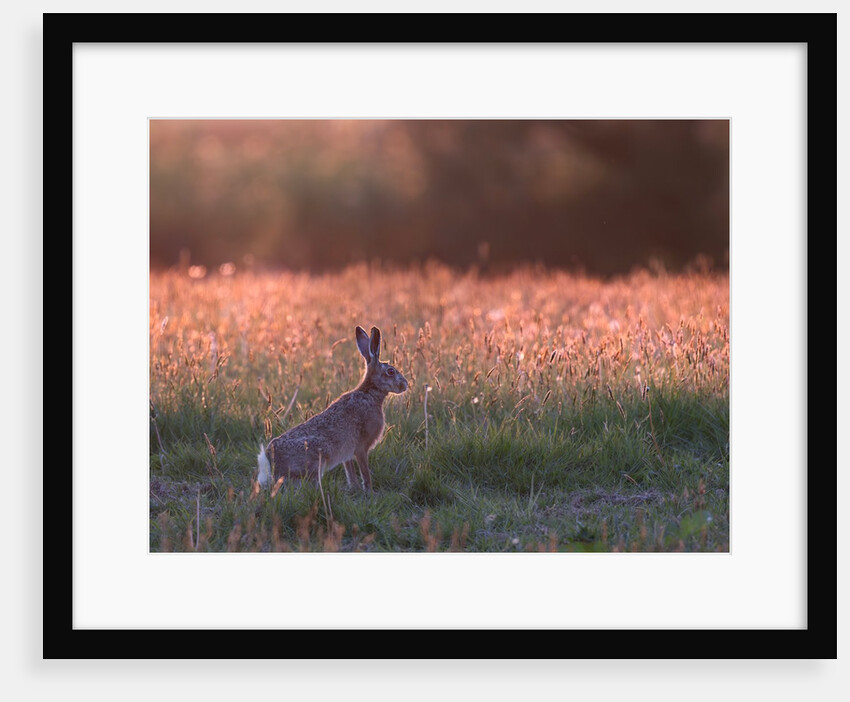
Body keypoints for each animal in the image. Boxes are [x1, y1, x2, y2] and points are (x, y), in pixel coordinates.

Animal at [257, 325, 408, 492]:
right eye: (391, 371)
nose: (405, 385)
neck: (370, 392)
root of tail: (269, 460)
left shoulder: (347, 454)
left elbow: (350, 472)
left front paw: (354, 488)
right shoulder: (360, 448)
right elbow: (365, 472)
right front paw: (370, 491)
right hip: (318, 456)